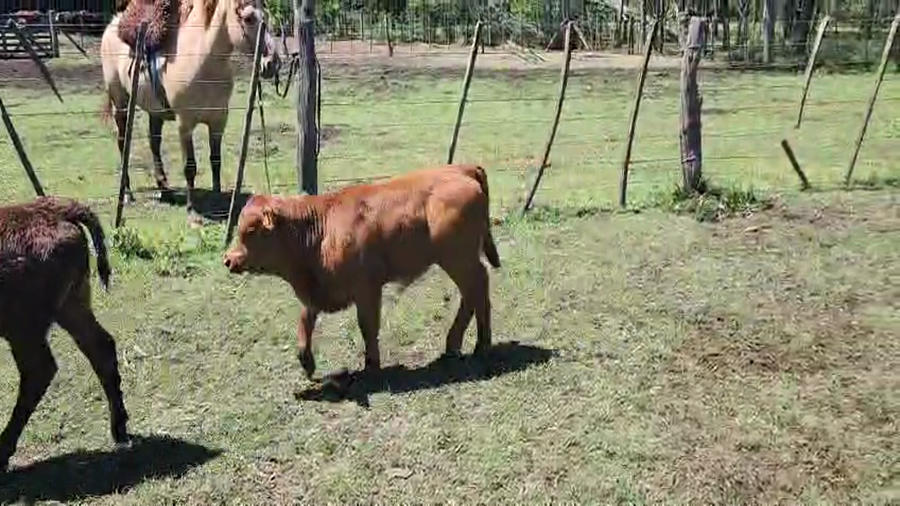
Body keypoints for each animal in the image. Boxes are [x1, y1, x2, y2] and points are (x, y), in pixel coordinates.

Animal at [0, 197, 131, 471]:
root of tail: (59, 208)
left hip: (23, 328)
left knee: (39, 370)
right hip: (71, 306)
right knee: (101, 347)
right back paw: (120, 430)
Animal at [223, 164, 502, 382]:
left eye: (250, 230)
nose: (228, 259)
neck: (320, 229)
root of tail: (462, 168)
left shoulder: (367, 288)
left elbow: (367, 326)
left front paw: (371, 366)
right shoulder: (319, 291)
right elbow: (305, 320)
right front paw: (307, 361)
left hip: (458, 259)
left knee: (477, 287)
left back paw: (479, 345)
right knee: (473, 292)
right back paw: (458, 345)